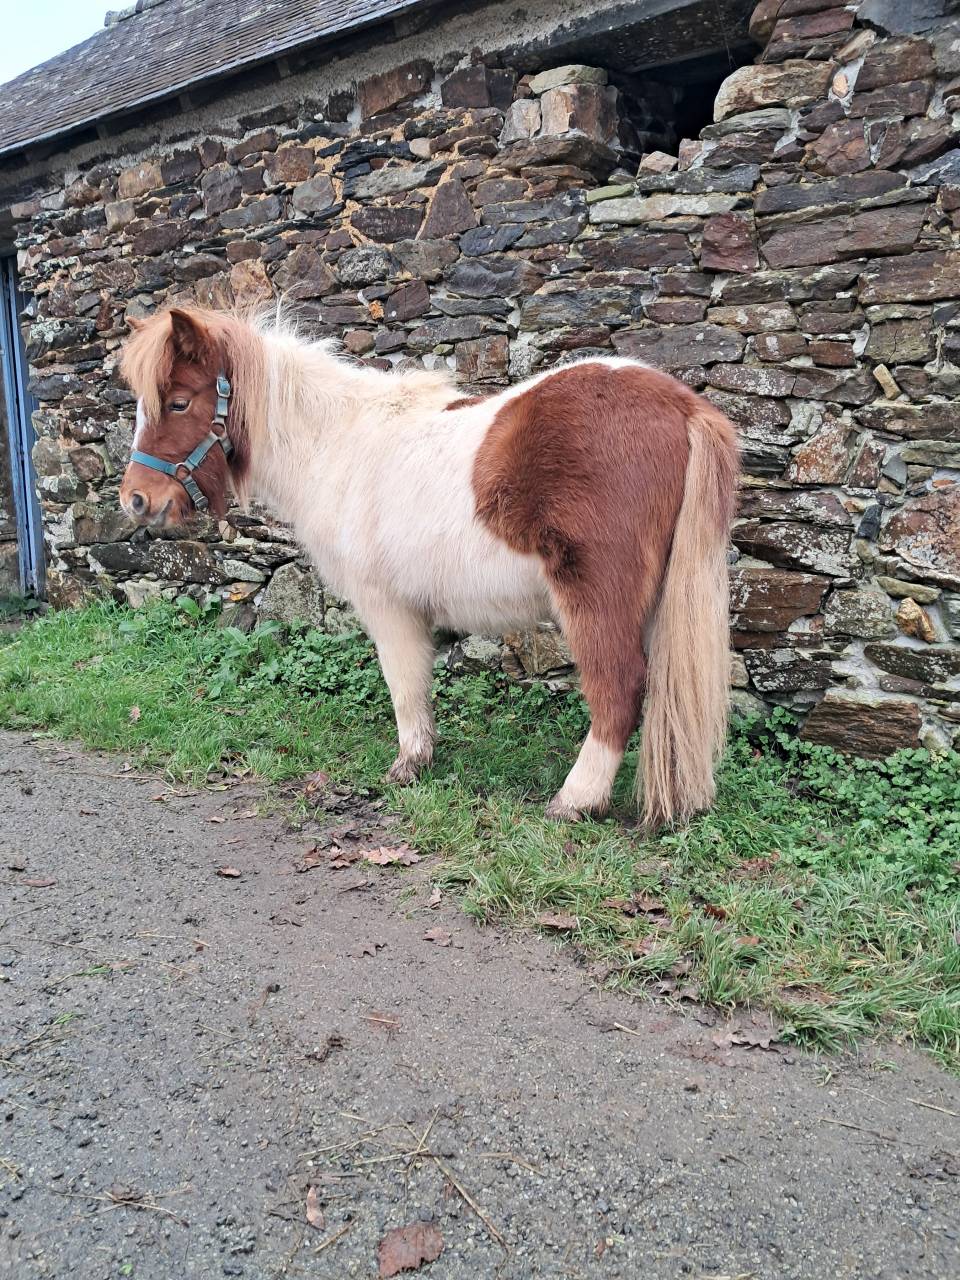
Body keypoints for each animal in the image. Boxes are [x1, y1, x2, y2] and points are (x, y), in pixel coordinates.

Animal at [118, 307, 739, 826]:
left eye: (179, 402)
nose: (135, 500)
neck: (337, 444)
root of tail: (681, 405)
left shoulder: (386, 606)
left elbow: (404, 684)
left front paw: (409, 766)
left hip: (596, 600)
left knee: (619, 689)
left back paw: (575, 800)